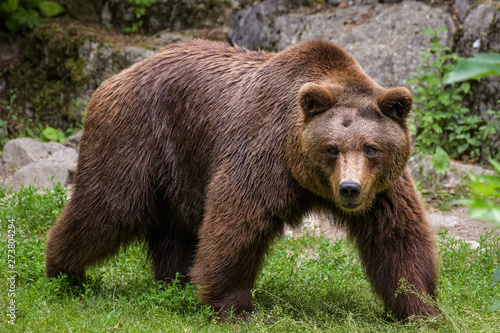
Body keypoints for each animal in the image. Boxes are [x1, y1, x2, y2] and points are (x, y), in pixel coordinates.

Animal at [46, 38, 438, 320]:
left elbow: (397, 237)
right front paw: (235, 308)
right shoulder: (262, 153)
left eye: (371, 148)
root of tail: (117, 76)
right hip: (137, 137)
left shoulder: (383, 189)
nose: (350, 189)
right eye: (331, 148)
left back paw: (175, 282)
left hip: (181, 168)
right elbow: (238, 223)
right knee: (106, 209)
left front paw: (421, 308)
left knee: (174, 230)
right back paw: (63, 273)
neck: (303, 173)